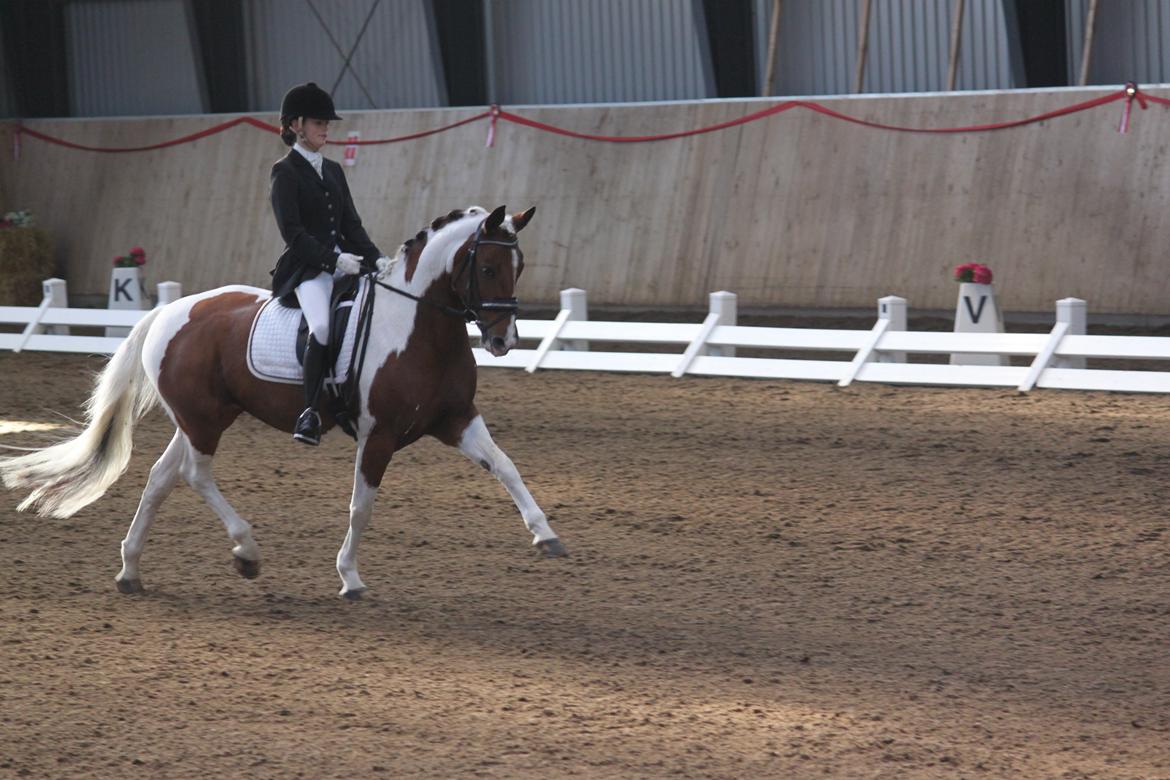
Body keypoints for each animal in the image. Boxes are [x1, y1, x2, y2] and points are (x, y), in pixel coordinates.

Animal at [0, 204, 566, 598]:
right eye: (488, 267)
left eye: (518, 264)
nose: (503, 340)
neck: (418, 327)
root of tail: (170, 311)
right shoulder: (378, 434)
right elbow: (361, 506)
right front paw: (350, 577)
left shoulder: (456, 419)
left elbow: (506, 465)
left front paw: (546, 537)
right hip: (204, 420)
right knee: (194, 475)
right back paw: (246, 551)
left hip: (201, 416)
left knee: (162, 477)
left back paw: (130, 570)